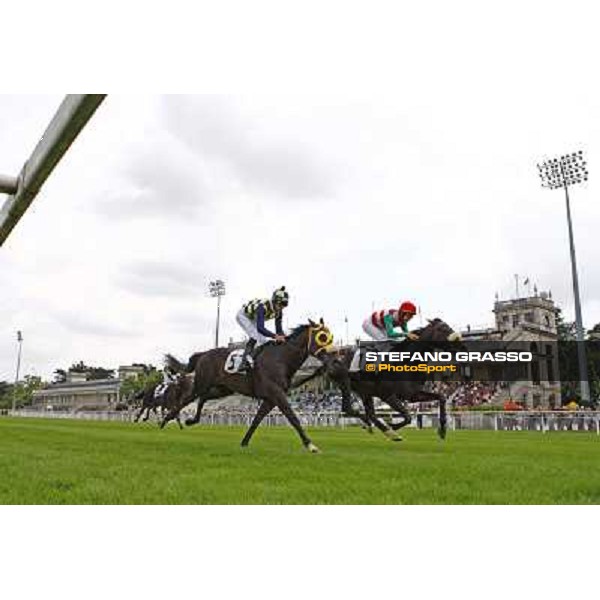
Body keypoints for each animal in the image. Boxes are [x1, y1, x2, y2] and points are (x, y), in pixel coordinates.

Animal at [162, 318, 336, 450]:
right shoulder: (277, 394)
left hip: (224, 389)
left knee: (203, 398)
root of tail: (204, 354)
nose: (334, 355)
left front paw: (244, 442)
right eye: (322, 337)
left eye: (330, 337)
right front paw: (310, 445)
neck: (281, 359)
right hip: (202, 383)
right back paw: (165, 420)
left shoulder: (271, 398)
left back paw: (191, 420)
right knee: (186, 400)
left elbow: (256, 420)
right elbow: (293, 417)